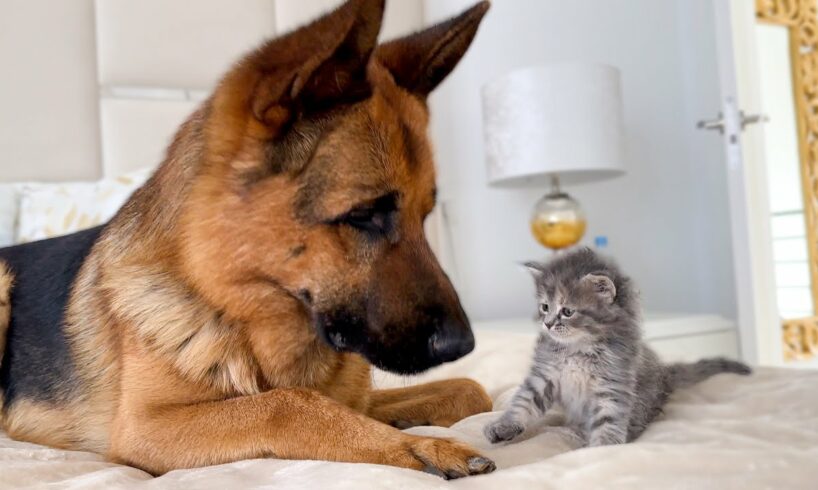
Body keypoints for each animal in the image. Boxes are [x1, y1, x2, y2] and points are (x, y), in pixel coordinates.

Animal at [0, 0, 498, 478]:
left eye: (426, 215)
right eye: (364, 215)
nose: (463, 346)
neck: (234, 307)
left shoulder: (363, 399)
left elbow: (470, 388)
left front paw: (410, 428)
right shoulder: (146, 426)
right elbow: (289, 403)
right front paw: (422, 446)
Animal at [482, 249, 748, 448]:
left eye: (567, 311)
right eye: (545, 307)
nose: (547, 324)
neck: (579, 348)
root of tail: (666, 374)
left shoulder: (613, 382)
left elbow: (609, 418)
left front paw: (601, 448)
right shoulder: (544, 375)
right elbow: (523, 402)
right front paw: (503, 426)